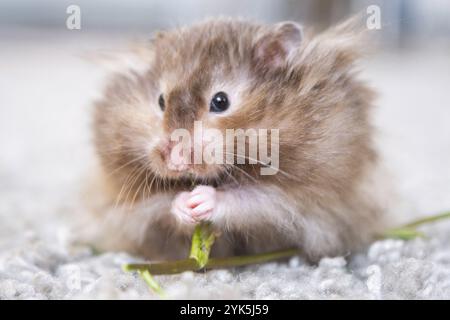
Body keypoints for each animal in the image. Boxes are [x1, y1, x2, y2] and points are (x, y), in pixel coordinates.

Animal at [87, 16, 390, 262]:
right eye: (161, 101)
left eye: (220, 101)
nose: (176, 161)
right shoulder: (132, 203)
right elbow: (160, 205)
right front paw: (185, 203)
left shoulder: (302, 194)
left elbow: (251, 199)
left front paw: (201, 199)